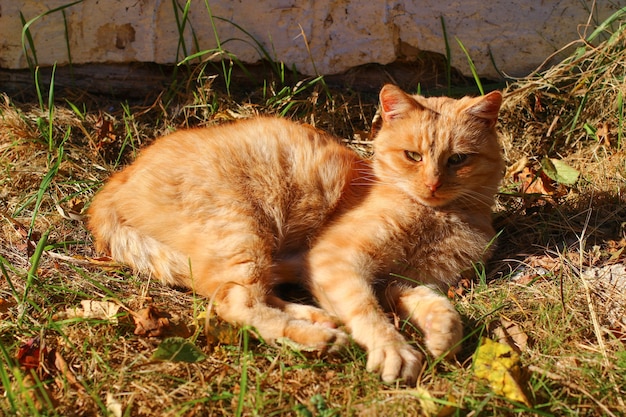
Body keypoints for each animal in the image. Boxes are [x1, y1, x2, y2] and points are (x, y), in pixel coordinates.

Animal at [86, 84, 502, 384]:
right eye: (413, 156)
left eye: (458, 160)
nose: (432, 184)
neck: (442, 217)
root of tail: (115, 182)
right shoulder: (335, 260)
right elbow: (366, 310)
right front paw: (393, 349)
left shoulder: (398, 282)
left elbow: (435, 304)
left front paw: (443, 333)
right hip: (241, 227)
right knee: (236, 304)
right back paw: (319, 337)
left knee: (252, 293)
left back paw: (319, 318)